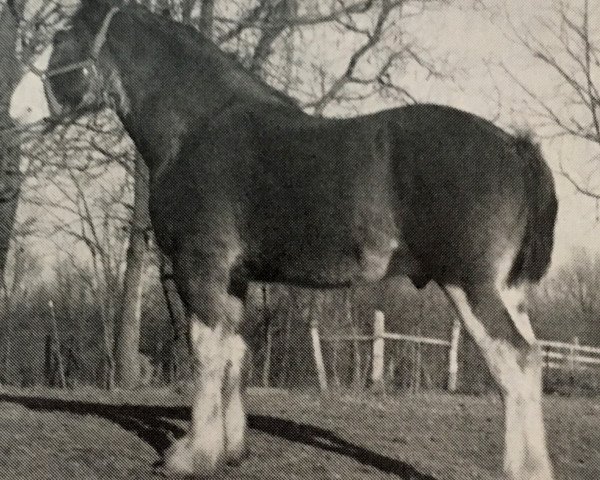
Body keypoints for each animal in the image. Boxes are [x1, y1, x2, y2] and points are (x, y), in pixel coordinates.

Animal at [9, 1, 556, 478]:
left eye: (59, 36)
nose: (15, 108)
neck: (196, 129)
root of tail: (514, 146)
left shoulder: (199, 266)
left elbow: (206, 353)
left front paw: (191, 456)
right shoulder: (235, 278)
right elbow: (234, 352)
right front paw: (230, 451)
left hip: (471, 286)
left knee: (516, 362)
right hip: (507, 291)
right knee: (531, 359)